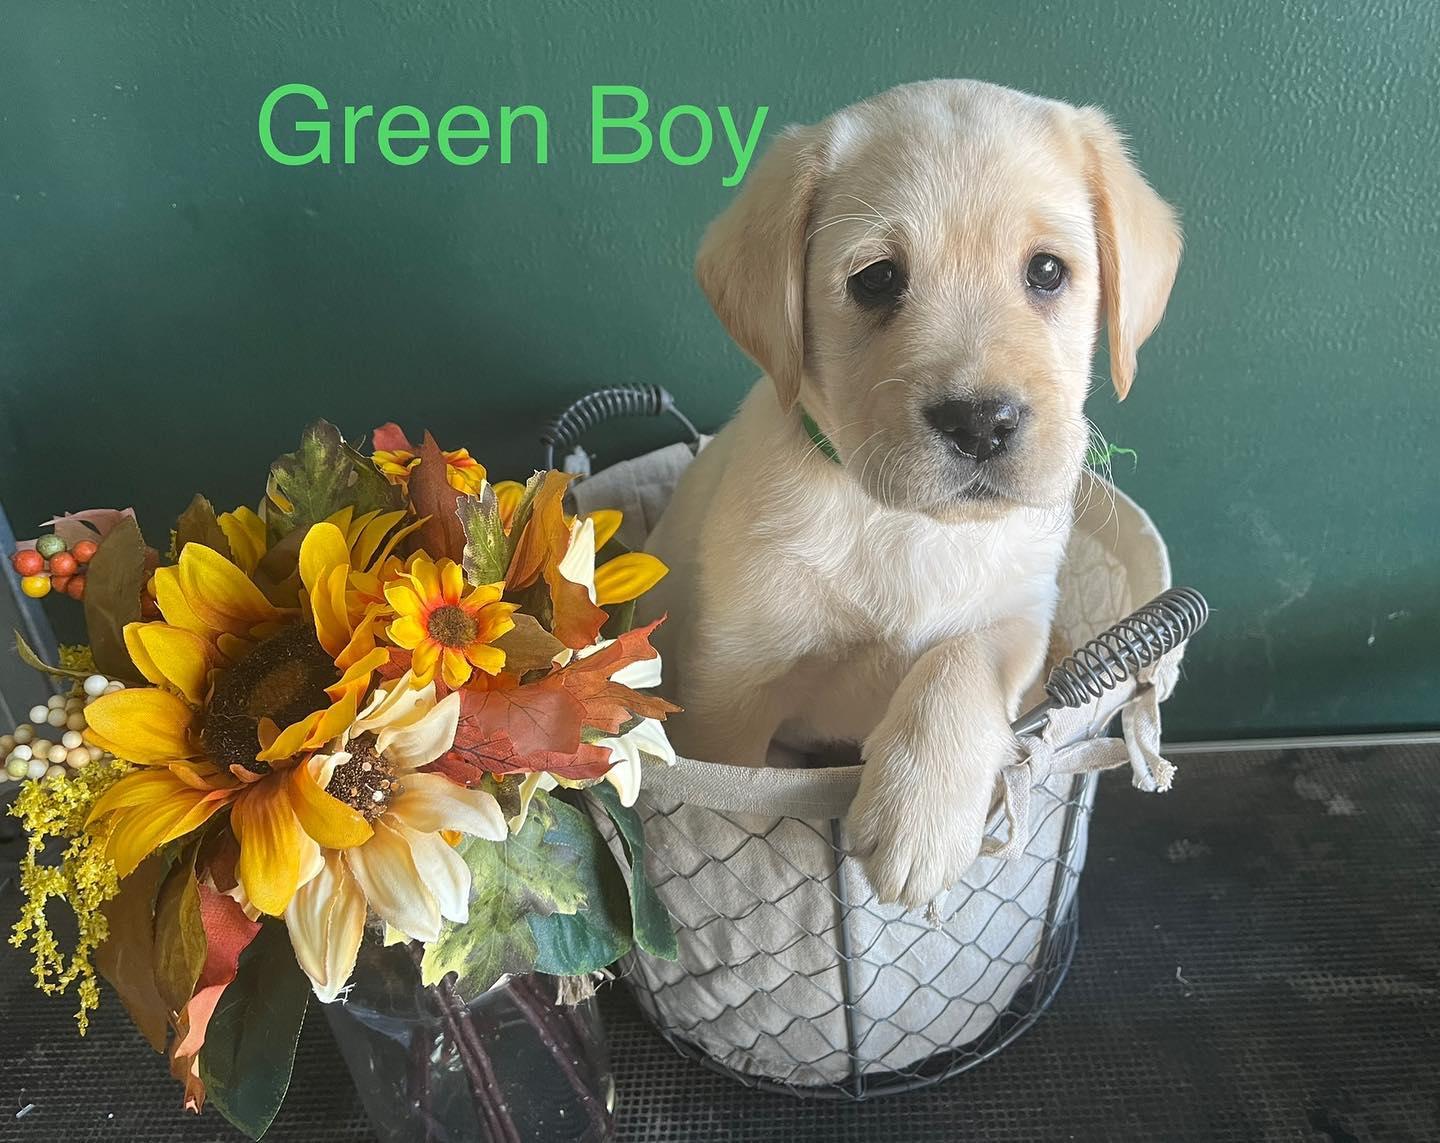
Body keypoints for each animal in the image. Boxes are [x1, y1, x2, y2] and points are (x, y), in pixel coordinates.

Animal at [640, 80, 1181, 909]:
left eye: (1047, 271)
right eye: (876, 279)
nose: (980, 422)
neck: (908, 523)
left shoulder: (1020, 613)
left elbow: (959, 659)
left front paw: (920, 811)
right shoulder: (730, 684)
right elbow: (740, 784)